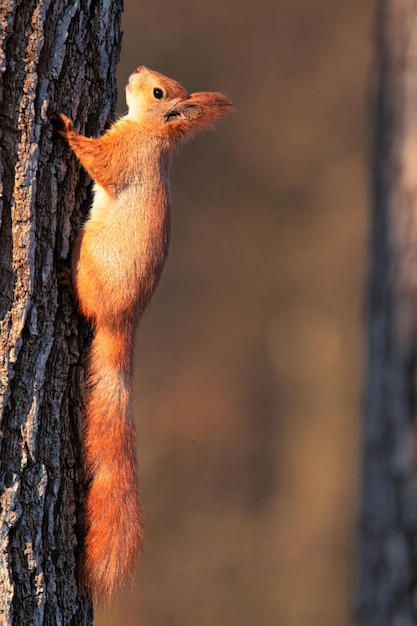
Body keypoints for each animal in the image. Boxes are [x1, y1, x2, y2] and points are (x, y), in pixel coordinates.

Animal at [59, 66, 234, 596]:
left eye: (158, 93)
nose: (136, 71)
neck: (152, 135)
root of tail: (124, 325)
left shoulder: (123, 157)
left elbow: (96, 158)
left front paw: (64, 124)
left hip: (91, 264)